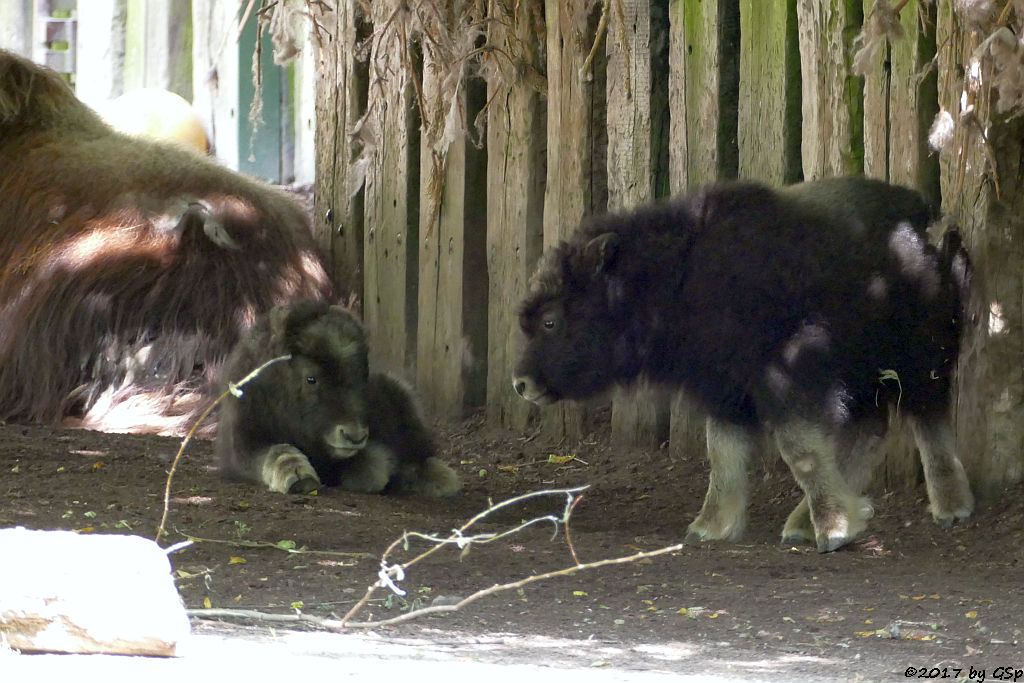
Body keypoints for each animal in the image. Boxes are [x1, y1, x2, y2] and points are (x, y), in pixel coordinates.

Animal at [220, 301, 460, 499]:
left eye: (362, 375)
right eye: (311, 378)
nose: (355, 437)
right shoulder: (241, 448)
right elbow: (275, 451)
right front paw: (298, 477)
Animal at [516, 178, 970, 557]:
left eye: (551, 320)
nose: (521, 384)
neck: (679, 278)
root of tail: (929, 219)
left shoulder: (788, 376)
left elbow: (799, 449)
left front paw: (835, 530)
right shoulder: (725, 390)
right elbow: (722, 453)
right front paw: (710, 526)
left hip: (919, 360)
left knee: (927, 419)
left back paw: (950, 507)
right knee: (871, 433)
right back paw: (803, 522)